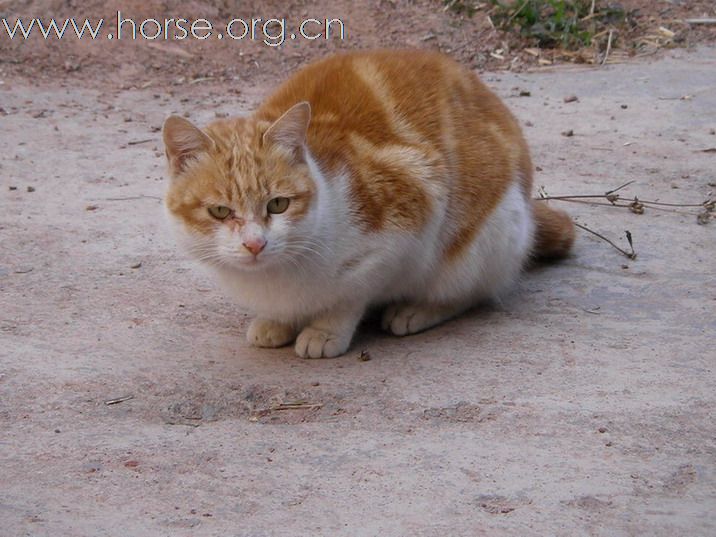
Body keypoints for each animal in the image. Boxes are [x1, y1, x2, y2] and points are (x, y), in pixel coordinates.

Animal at [161, 49, 572, 356]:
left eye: (278, 204)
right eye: (219, 211)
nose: (254, 244)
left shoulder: (408, 217)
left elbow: (351, 296)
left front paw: (325, 331)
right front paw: (276, 322)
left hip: (487, 238)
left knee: (470, 291)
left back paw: (417, 310)